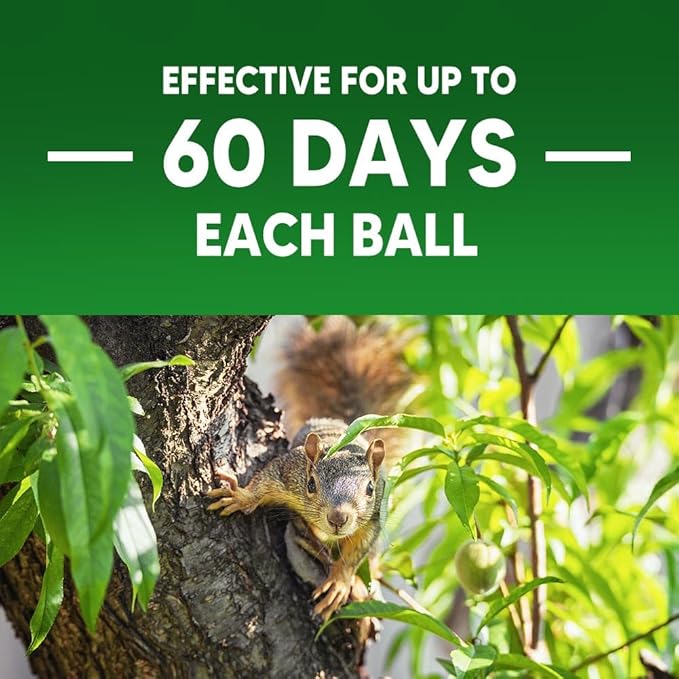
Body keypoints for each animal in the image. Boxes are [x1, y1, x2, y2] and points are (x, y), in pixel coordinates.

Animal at [206, 316, 410, 620]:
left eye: (370, 489)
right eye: (311, 484)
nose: (338, 518)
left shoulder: (373, 517)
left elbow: (357, 550)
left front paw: (341, 581)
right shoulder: (289, 472)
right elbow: (265, 482)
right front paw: (240, 496)